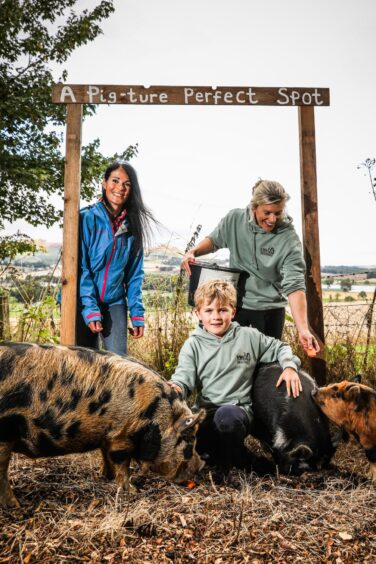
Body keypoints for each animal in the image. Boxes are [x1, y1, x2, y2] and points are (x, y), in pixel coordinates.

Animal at [0, 342, 206, 508]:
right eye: (189, 438)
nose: (202, 465)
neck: (154, 414)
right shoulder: (122, 437)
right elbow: (122, 463)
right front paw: (133, 491)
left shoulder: (107, 435)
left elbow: (105, 455)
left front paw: (106, 477)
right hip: (5, 433)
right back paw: (16, 507)